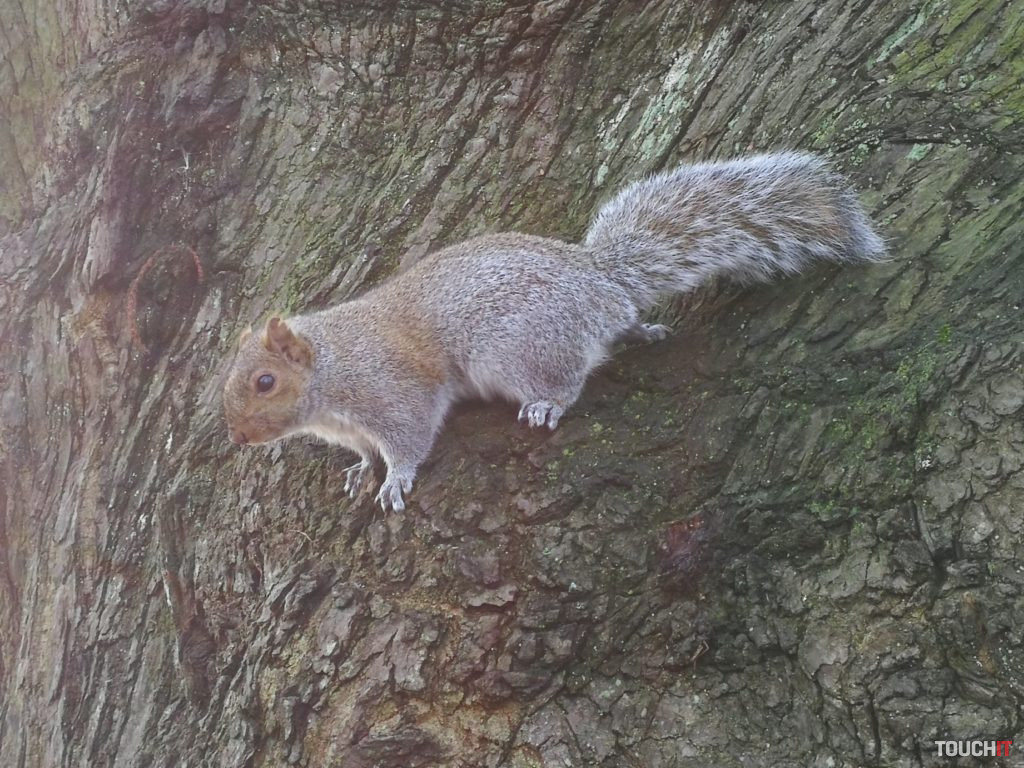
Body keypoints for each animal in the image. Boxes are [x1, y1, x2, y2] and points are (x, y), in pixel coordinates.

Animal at [223, 151, 885, 512]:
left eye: (264, 381)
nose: (238, 438)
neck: (329, 375)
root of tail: (600, 281)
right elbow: (365, 451)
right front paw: (363, 470)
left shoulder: (390, 392)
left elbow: (409, 438)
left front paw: (395, 478)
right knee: (618, 329)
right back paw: (640, 328)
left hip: (519, 347)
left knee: (567, 377)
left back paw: (548, 403)